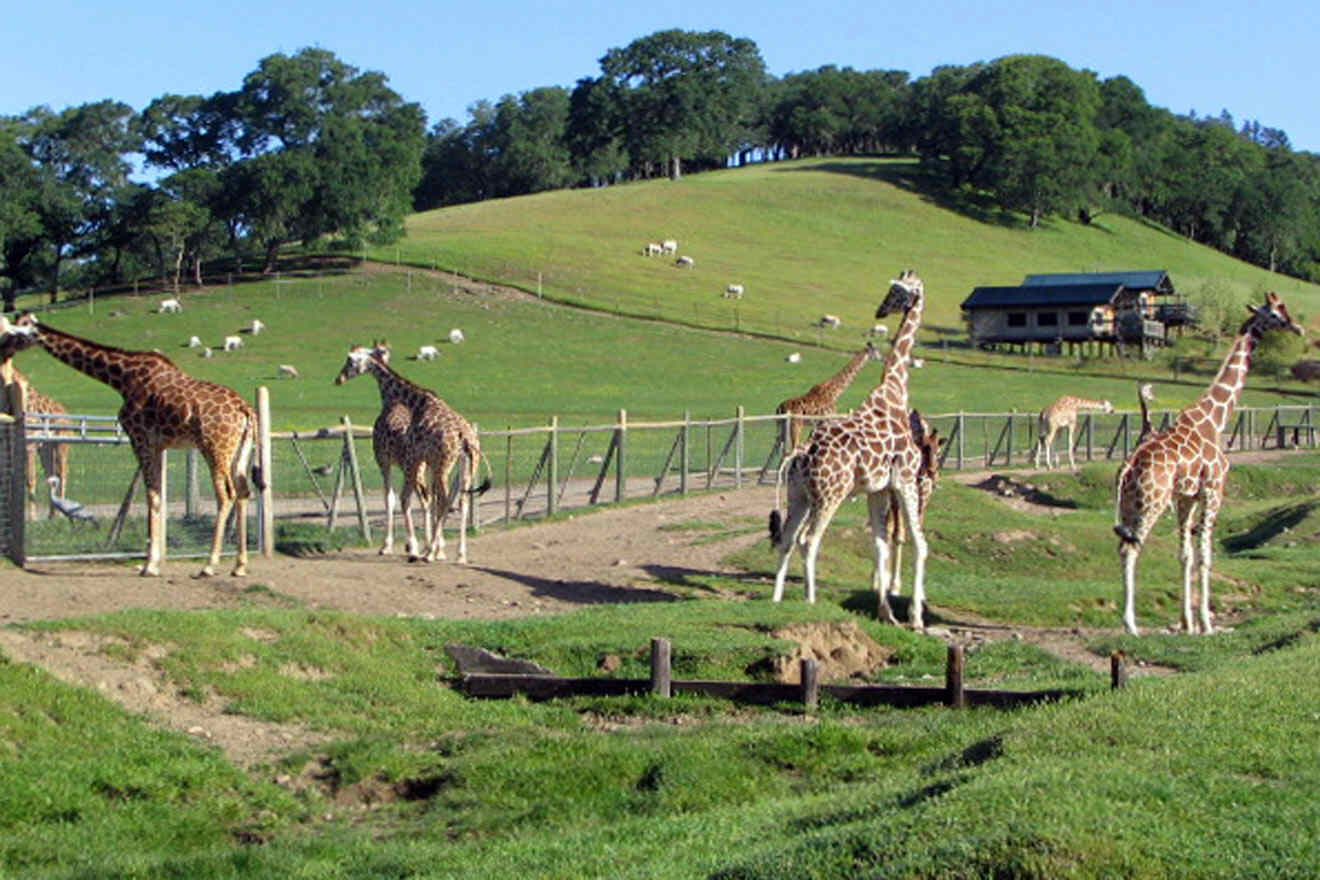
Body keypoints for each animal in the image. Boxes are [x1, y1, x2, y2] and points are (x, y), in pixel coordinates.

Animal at [0, 312, 257, 575]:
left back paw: (209, 565)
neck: (122, 378)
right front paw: (152, 562)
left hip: (214, 447)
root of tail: (245, 410)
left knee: (226, 494)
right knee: (243, 491)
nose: (4, 347)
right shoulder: (158, 444)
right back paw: (239, 565)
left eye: (15, 330)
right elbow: (157, 495)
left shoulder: (139, 438)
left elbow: (151, 496)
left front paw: (149, 565)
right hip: (240, 450)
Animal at [335, 343, 491, 564]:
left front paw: (405, 548)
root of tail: (466, 439)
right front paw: (427, 547)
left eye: (350, 360)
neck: (416, 403)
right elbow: (422, 500)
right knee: (461, 501)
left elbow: (399, 499)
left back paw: (430, 553)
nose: (338, 378)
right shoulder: (424, 461)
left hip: (442, 465)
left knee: (444, 500)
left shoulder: (404, 459)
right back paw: (459, 555)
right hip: (467, 465)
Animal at [770, 271, 934, 630]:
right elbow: (920, 543)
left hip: (799, 494)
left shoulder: (877, 489)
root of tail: (800, 456)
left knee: (787, 538)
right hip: (830, 494)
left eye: (897, 291)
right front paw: (915, 617)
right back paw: (810, 600)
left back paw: (775, 600)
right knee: (809, 540)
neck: (895, 392)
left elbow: (880, 545)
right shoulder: (904, 480)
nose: (880, 311)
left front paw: (887, 612)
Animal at [1114, 292, 1309, 635]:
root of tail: (1127, 468)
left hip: (1130, 503)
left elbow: (1185, 555)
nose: (1297, 328)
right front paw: (1206, 623)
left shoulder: (1187, 497)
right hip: (1152, 502)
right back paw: (1131, 626)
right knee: (1131, 548)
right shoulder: (1214, 490)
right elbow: (1206, 555)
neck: (1215, 418)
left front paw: (1187, 623)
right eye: (1275, 313)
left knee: (1122, 547)